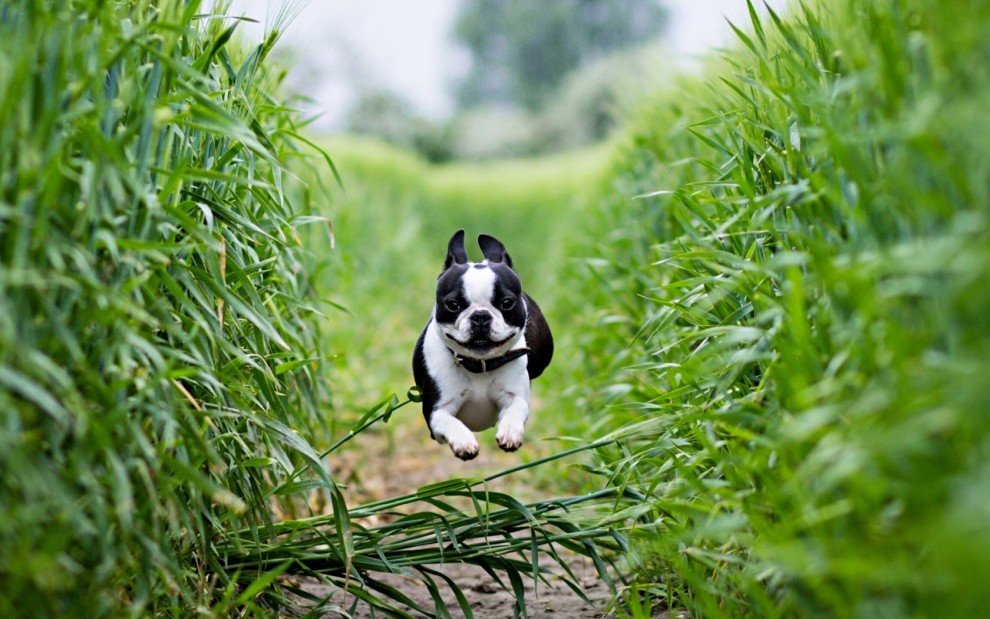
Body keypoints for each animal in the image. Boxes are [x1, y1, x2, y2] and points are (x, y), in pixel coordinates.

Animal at [408, 230, 556, 458]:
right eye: (453, 305)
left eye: (507, 303)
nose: (480, 316)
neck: (479, 365)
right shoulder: (435, 411)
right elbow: (449, 422)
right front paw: (463, 441)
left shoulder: (515, 395)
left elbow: (516, 408)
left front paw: (510, 432)